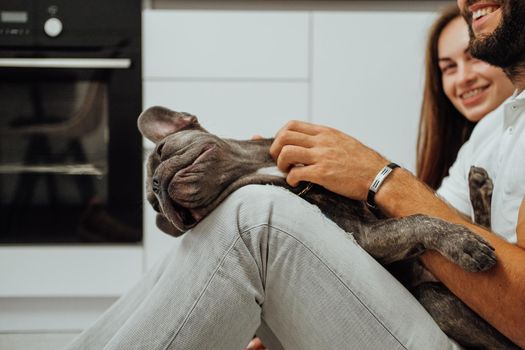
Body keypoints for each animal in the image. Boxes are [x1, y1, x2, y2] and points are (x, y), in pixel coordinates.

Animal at [137, 106, 516, 350]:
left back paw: (480, 190)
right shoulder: (365, 237)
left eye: (162, 149)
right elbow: (415, 220)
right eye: (154, 205)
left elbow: (419, 213)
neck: (270, 170)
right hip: (435, 299)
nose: (156, 188)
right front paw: (462, 243)